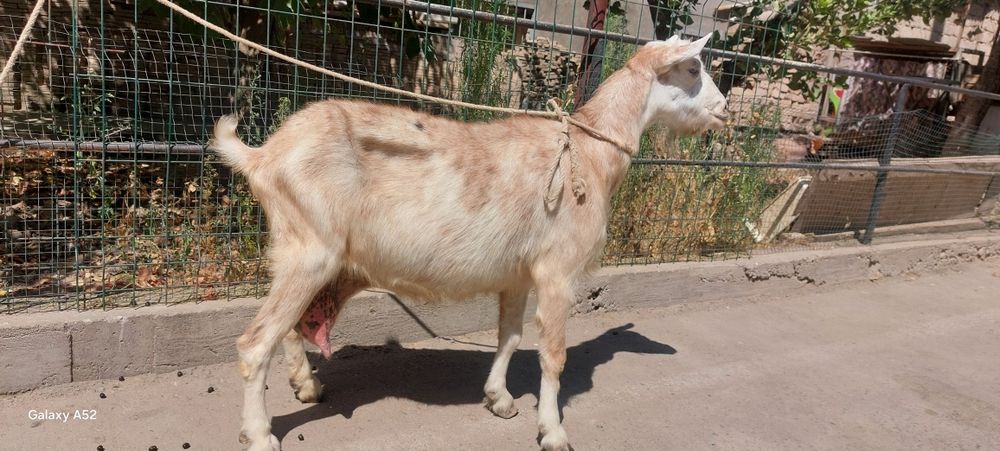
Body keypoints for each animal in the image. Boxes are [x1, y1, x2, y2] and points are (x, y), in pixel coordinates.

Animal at [212, 34, 728, 451]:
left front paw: (500, 399)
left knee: (290, 328)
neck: (588, 152)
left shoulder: (519, 273)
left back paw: (308, 387)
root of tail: (263, 156)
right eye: (693, 68)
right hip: (310, 248)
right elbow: (553, 353)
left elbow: (510, 335)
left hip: (306, 255)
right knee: (256, 342)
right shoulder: (557, 270)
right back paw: (260, 435)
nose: (724, 110)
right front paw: (552, 431)